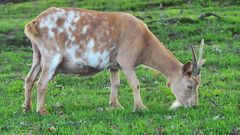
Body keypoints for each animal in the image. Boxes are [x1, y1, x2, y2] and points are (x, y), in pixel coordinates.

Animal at [23, 7, 204, 115]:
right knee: (41, 82)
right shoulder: (127, 60)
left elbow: (115, 83)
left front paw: (115, 105)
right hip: (51, 55)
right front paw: (140, 107)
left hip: (37, 54)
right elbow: (135, 84)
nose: (194, 105)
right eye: (190, 85)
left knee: (29, 78)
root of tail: (35, 22)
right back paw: (41, 111)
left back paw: (27, 108)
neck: (143, 41)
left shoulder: (114, 64)